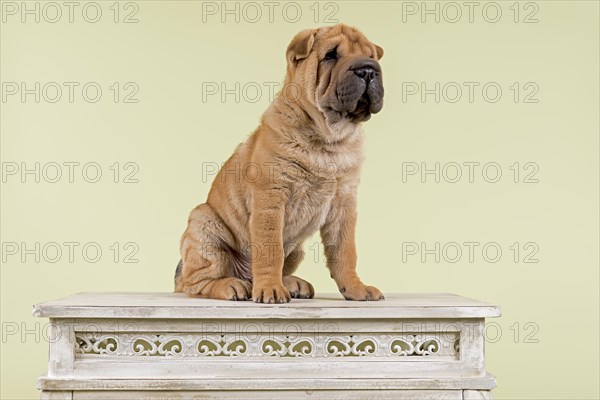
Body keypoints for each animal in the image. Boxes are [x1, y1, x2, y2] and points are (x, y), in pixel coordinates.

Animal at [176, 23, 386, 304]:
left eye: (371, 56)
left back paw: (292, 283)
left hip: (296, 249)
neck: (328, 140)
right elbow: (270, 250)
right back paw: (233, 285)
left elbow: (345, 251)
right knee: (195, 282)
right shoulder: (271, 198)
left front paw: (356, 289)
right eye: (331, 55)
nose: (368, 70)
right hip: (204, 225)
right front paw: (270, 290)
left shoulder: (344, 203)